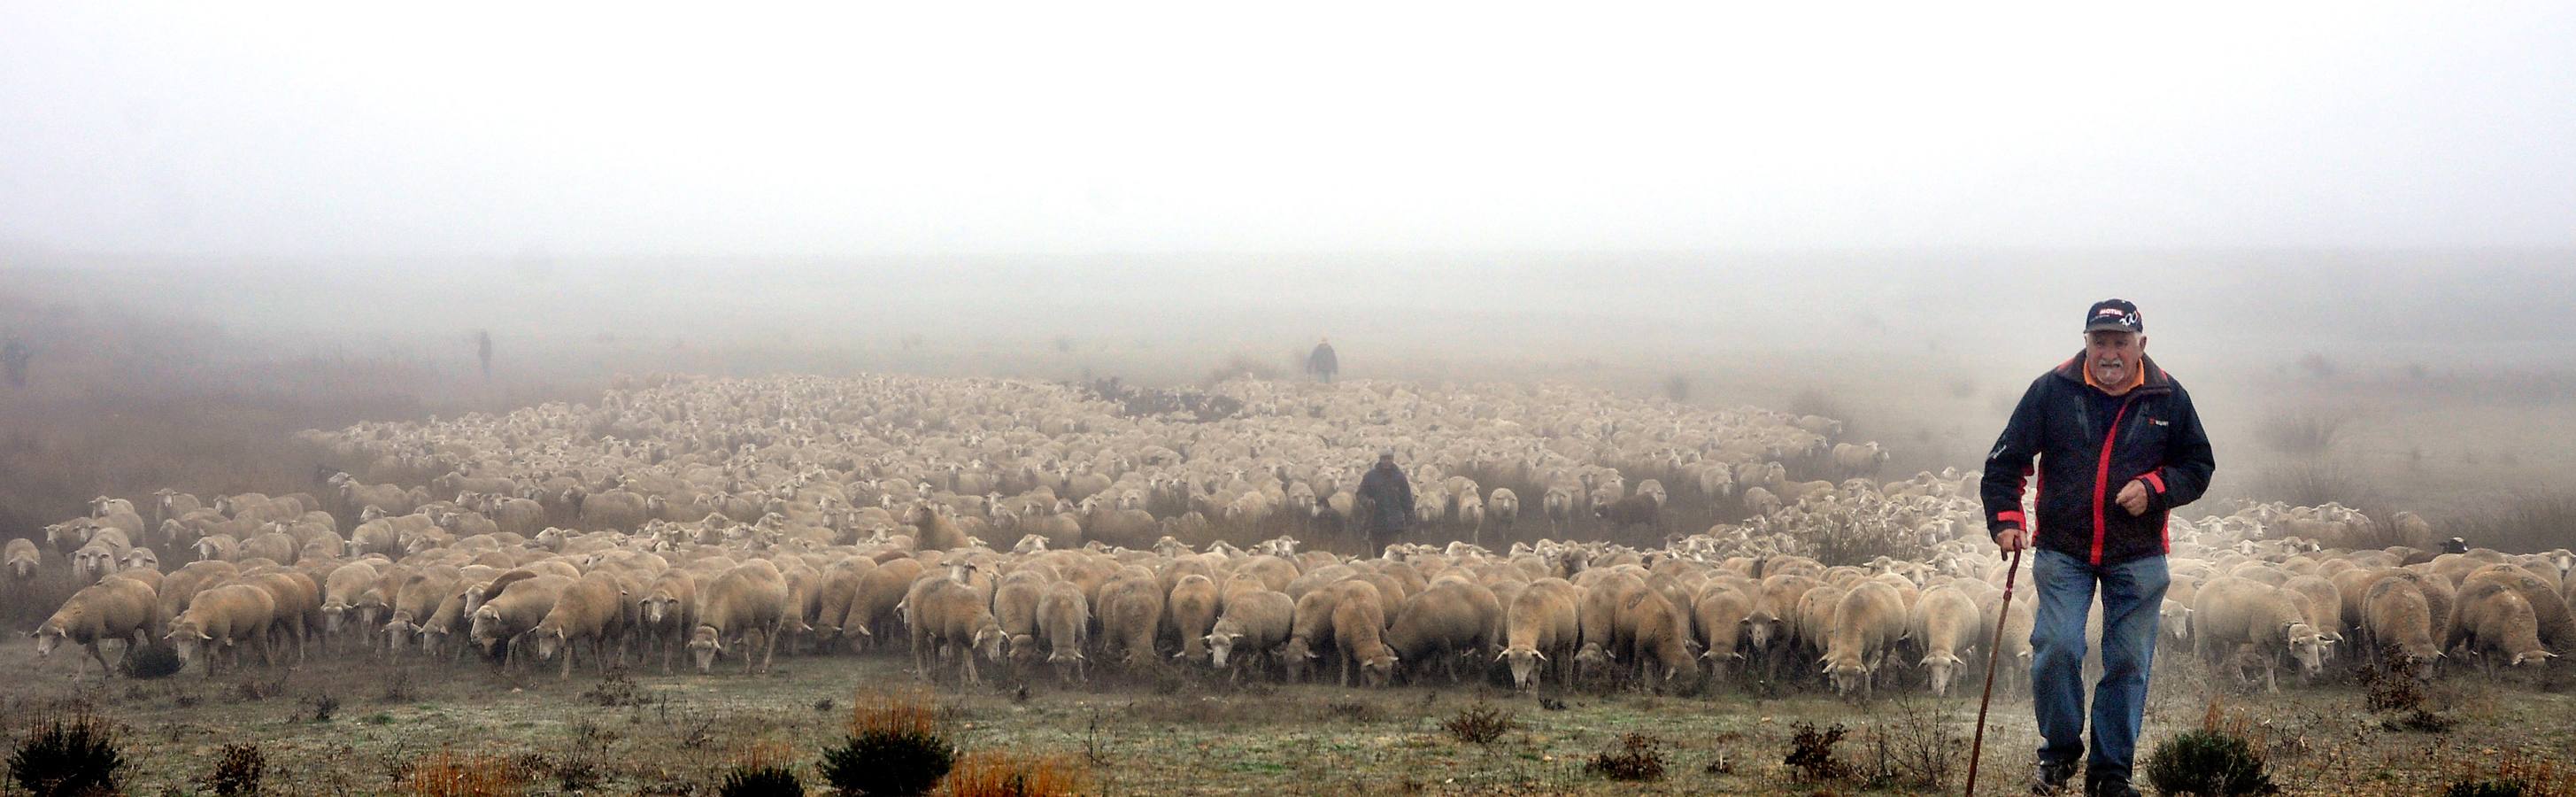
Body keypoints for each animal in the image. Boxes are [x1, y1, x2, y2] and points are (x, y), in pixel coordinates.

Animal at [33, 574, 158, 681]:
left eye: (55, 635)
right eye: (40, 635)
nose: (41, 652)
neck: (79, 609)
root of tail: (146, 585)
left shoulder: (94, 634)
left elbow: (85, 656)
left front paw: (78, 679)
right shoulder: (90, 637)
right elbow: (97, 655)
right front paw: (109, 672)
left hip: (149, 623)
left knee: (152, 641)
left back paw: (156, 658)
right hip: (126, 628)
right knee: (132, 642)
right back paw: (119, 665)